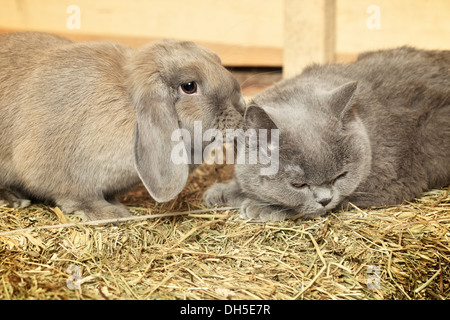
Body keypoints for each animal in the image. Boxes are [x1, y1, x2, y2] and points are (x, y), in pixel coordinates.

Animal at [0, 31, 246, 220]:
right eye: (189, 86)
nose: (241, 109)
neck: (127, 104)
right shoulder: (59, 173)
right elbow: (77, 197)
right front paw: (111, 213)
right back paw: (14, 199)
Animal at [205, 46, 450, 221]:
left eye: (341, 176)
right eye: (299, 185)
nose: (325, 200)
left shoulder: (389, 183)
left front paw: (261, 207)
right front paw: (225, 191)